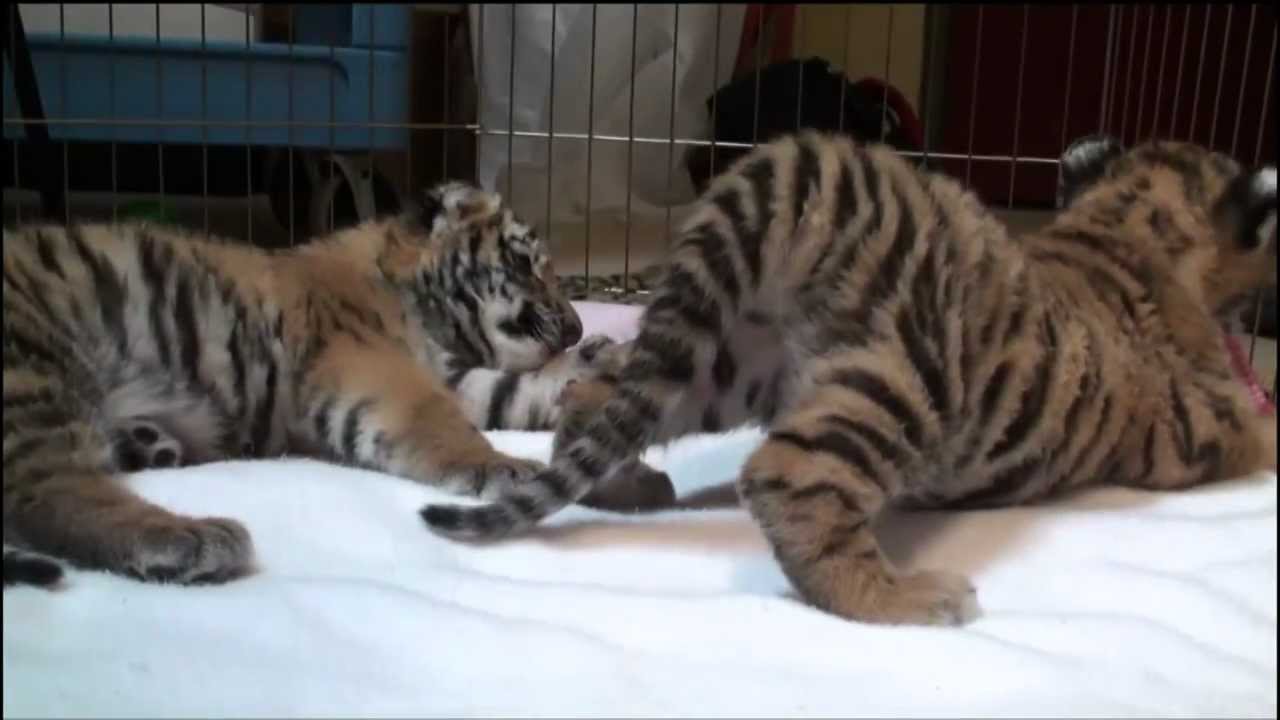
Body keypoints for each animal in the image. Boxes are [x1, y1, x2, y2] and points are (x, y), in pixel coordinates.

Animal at [2, 180, 668, 589]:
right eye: (527, 264)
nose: (577, 323)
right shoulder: (377, 368)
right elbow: (442, 422)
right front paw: (508, 468)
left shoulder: (457, 375)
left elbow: (523, 388)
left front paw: (604, 362)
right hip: (29, 373)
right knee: (44, 492)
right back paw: (191, 538)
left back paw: (150, 445)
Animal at [420, 133, 1278, 626]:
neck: (1123, 224)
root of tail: (808, 164)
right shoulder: (1215, 420)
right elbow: (1263, 425)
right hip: (907, 377)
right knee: (785, 477)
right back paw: (915, 598)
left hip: (719, 358)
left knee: (596, 395)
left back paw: (629, 487)